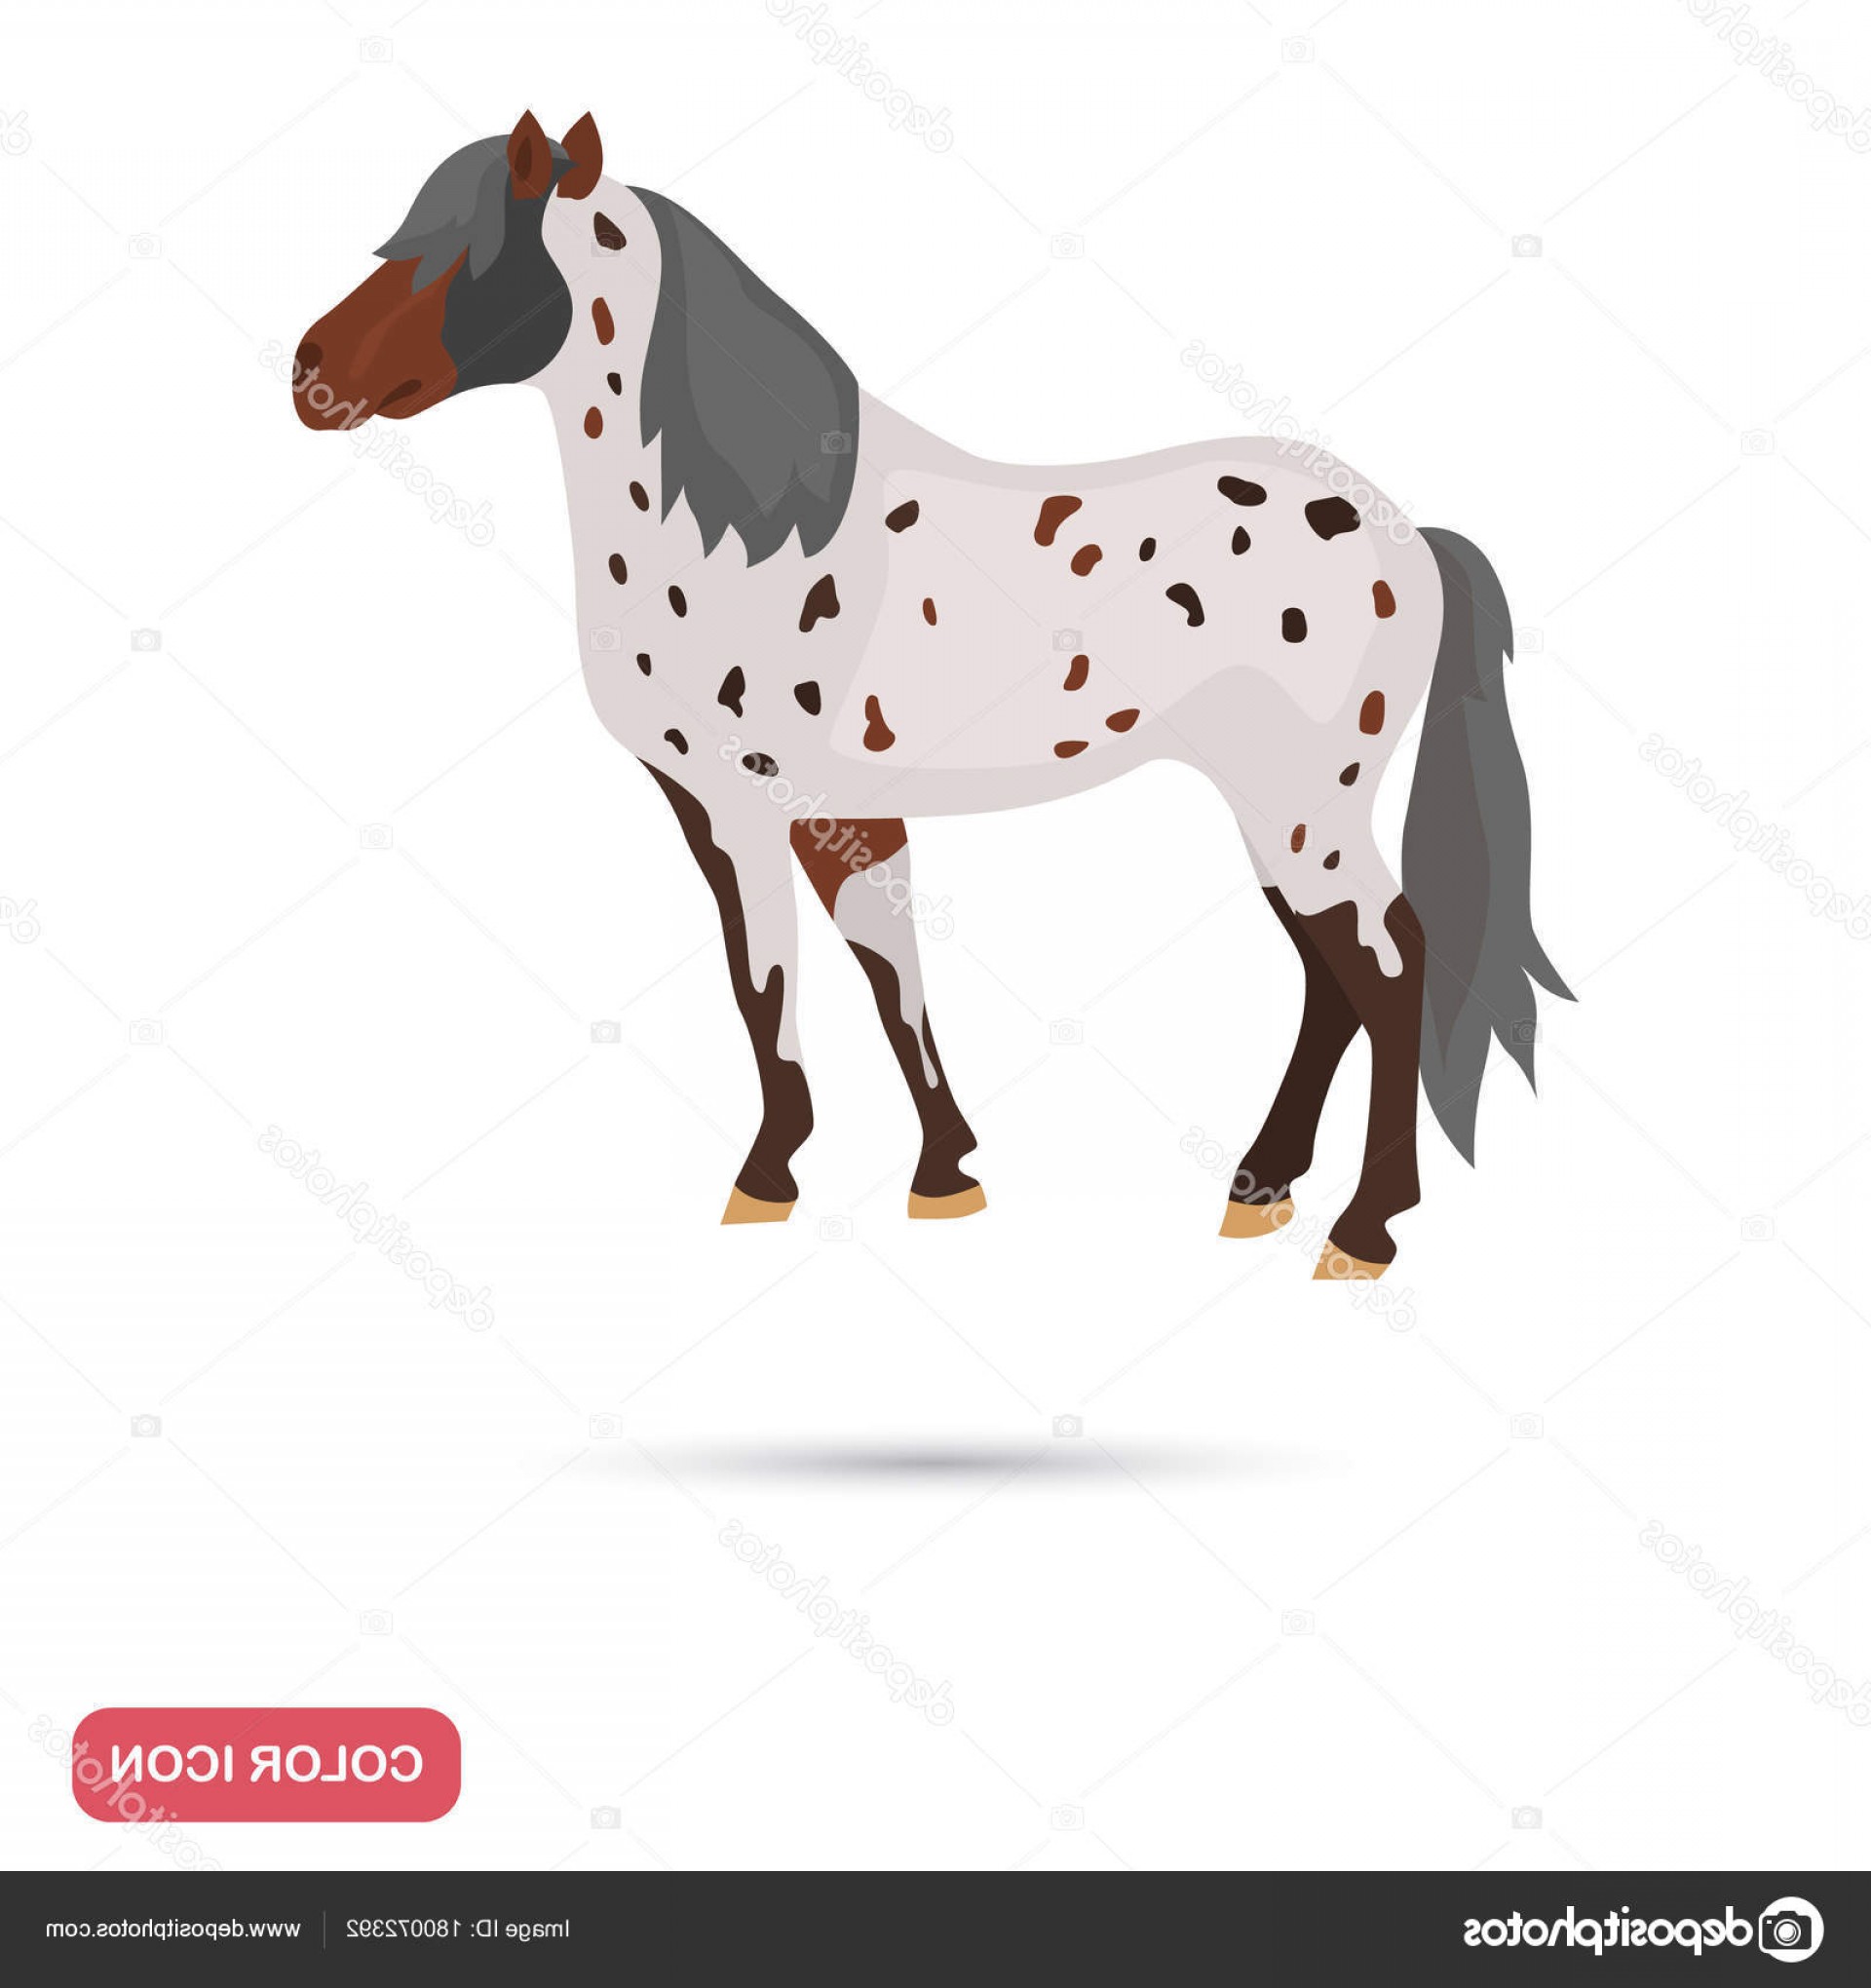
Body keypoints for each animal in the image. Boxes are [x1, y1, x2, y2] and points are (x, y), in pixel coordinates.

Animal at [293, 110, 1569, 1279]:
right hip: (1276, 813)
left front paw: (771, 1178)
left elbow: (770, 982)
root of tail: (1411, 537)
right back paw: (1260, 1188)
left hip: (1307, 811)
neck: (738, 536)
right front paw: (942, 1172)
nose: (309, 377)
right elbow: (879, 975)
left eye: (465, 251)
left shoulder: (745, 804)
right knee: (1332, 980)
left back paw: (1363, 1231)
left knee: (1389, 970)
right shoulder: (822, 811)